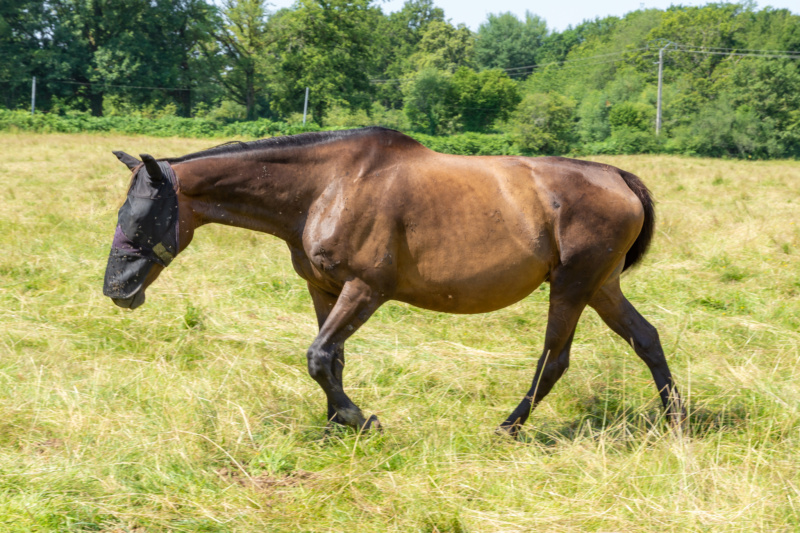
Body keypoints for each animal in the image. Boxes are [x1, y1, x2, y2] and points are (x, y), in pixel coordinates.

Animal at [103, 128, 684, 436]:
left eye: (142, 216)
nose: (117, 290)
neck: (327, 187)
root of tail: (618, 177)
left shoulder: (366, 289)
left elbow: (318, 356)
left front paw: (359, 420)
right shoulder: (324, 290)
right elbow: (331, 359)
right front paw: (334, 424)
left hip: (572, 286)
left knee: (554, 360)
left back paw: (509, 427)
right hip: (601, 286)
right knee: (646, 339)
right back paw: (676, 418)